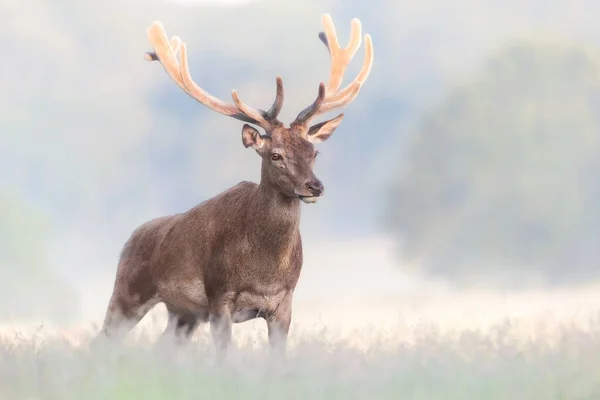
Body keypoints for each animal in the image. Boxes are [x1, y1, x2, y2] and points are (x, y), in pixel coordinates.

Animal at [98, 14, 370, 354]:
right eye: (276, 155)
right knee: (102, 338)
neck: (265, 271)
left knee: (164, 346)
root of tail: (130, 238)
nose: (315, 186)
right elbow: (224, 355)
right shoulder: (220, 295)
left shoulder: (284, 301)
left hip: (183, 312)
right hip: (128, 290)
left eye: (313, 151)